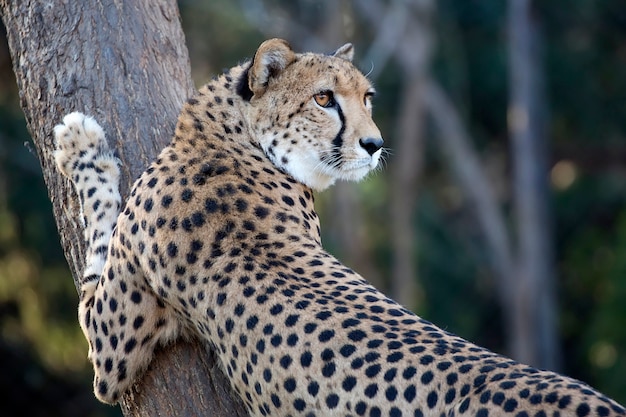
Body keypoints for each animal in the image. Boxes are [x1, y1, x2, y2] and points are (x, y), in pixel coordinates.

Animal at [54, 39, 624, 416]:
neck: (227, 137)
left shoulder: (111, 351)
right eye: (324, 98)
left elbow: (96, 241)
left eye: (367, 98)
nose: (374, 144)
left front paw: (79, 145)